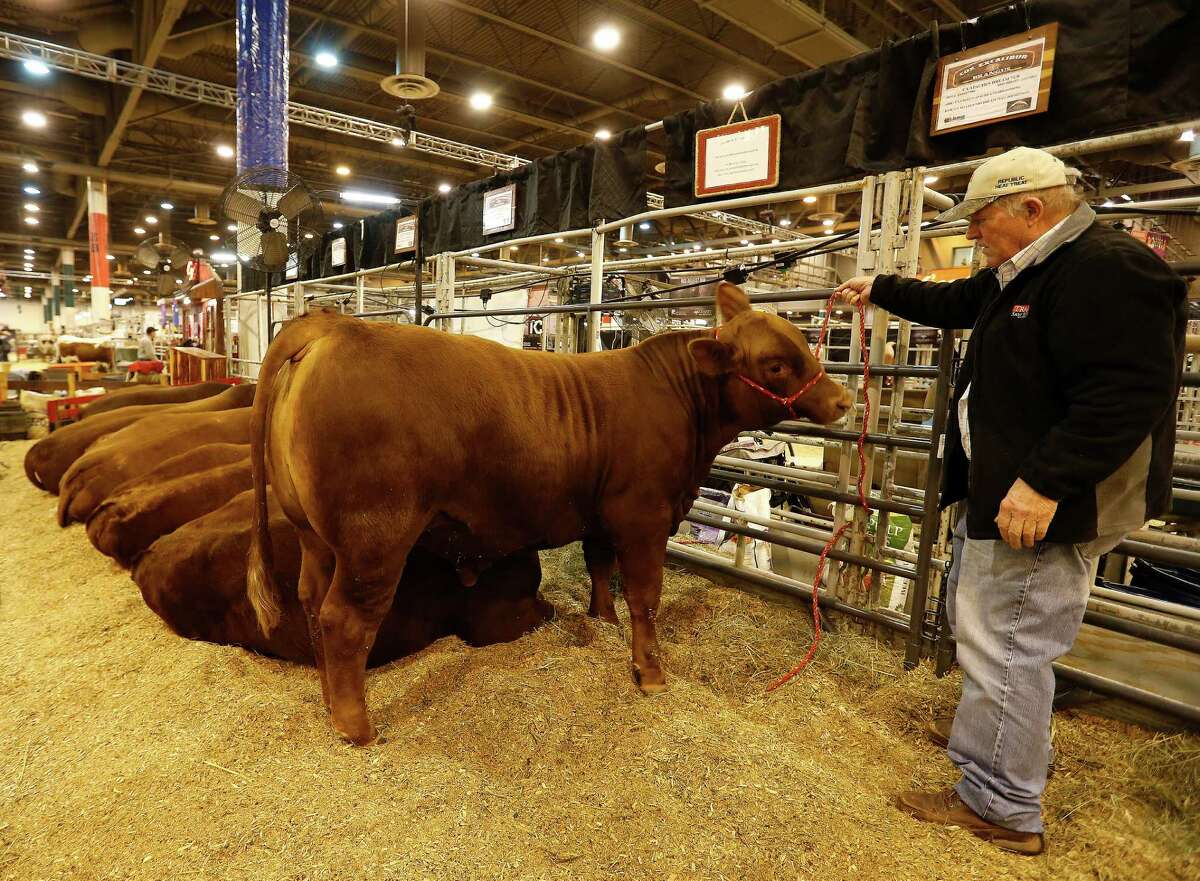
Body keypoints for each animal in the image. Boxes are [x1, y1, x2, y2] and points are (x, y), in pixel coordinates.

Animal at [246, 284, 854, 744]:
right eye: (775, 364)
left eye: (804, 342)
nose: (843, 400)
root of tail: (333, 328)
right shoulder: (645, 516)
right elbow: (646, 596)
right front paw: (650, 673)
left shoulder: (604, 515)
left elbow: (599, 568)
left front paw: (603, 623)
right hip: (374, 539)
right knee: (344, 620)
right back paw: (357, 727)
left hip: (314, 536)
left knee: (310, 599)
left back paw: (330, 700)